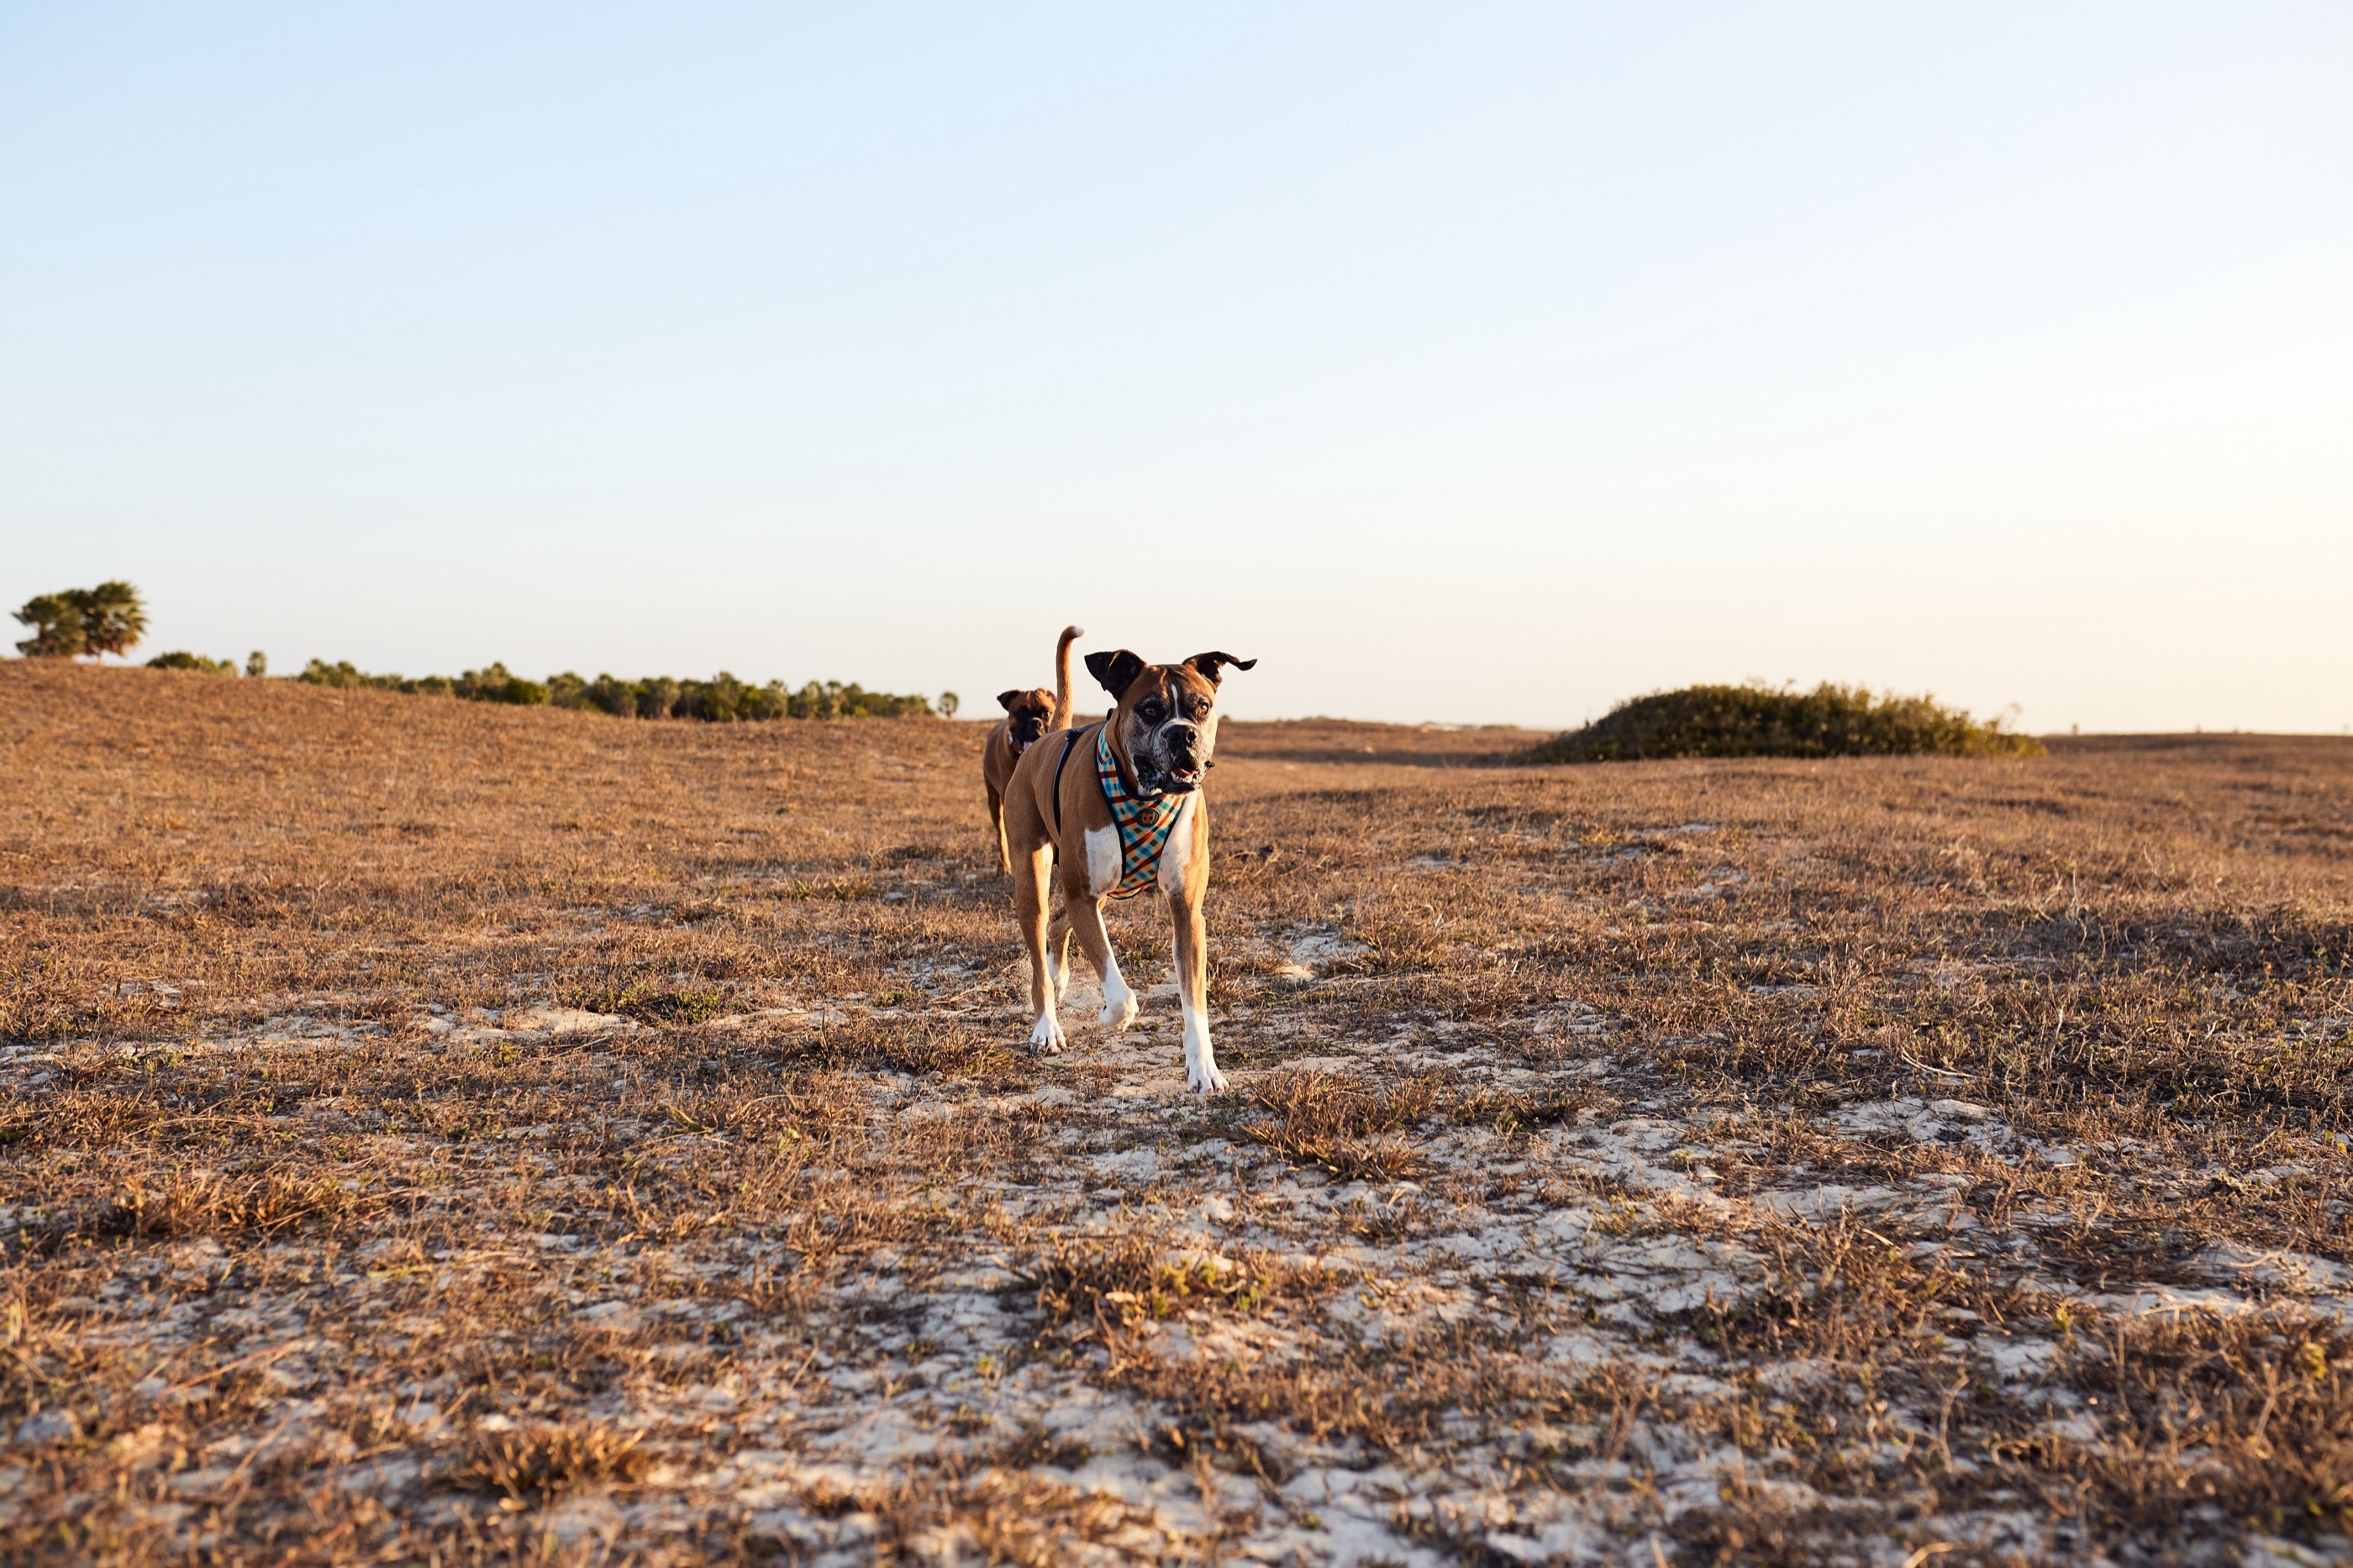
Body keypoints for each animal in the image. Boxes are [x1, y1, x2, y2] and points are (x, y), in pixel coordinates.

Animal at [992, 640, 1251, 1092]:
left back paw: (1060, 979)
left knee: (1058, 924)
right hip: (1033, 879)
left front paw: (1204, 1069)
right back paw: (1046, 1027)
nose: (1182, 733)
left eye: (1202, 707)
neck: (1145, 797)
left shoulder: (1187, 911)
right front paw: (1110, 1017)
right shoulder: (1084, 897)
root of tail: (1047, 737)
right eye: (1149, 709)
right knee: (1040, 948)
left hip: (1104, 890)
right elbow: (1120, 993)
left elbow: (1194, 1002)